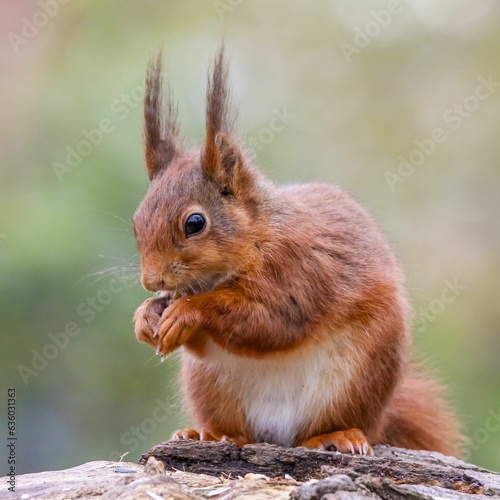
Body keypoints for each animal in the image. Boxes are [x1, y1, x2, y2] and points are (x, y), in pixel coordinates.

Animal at [131, 47, 462, 458]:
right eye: (136, 221)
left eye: (195, 223)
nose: (151, 281)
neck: (257, 236)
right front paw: (146, 316)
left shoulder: (298, 269)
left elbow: (271, 322)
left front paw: (187, 311)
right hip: (209, 385)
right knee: (238, 429)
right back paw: (211, 434)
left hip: (354, 380)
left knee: (329, 425)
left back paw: (335, 436)